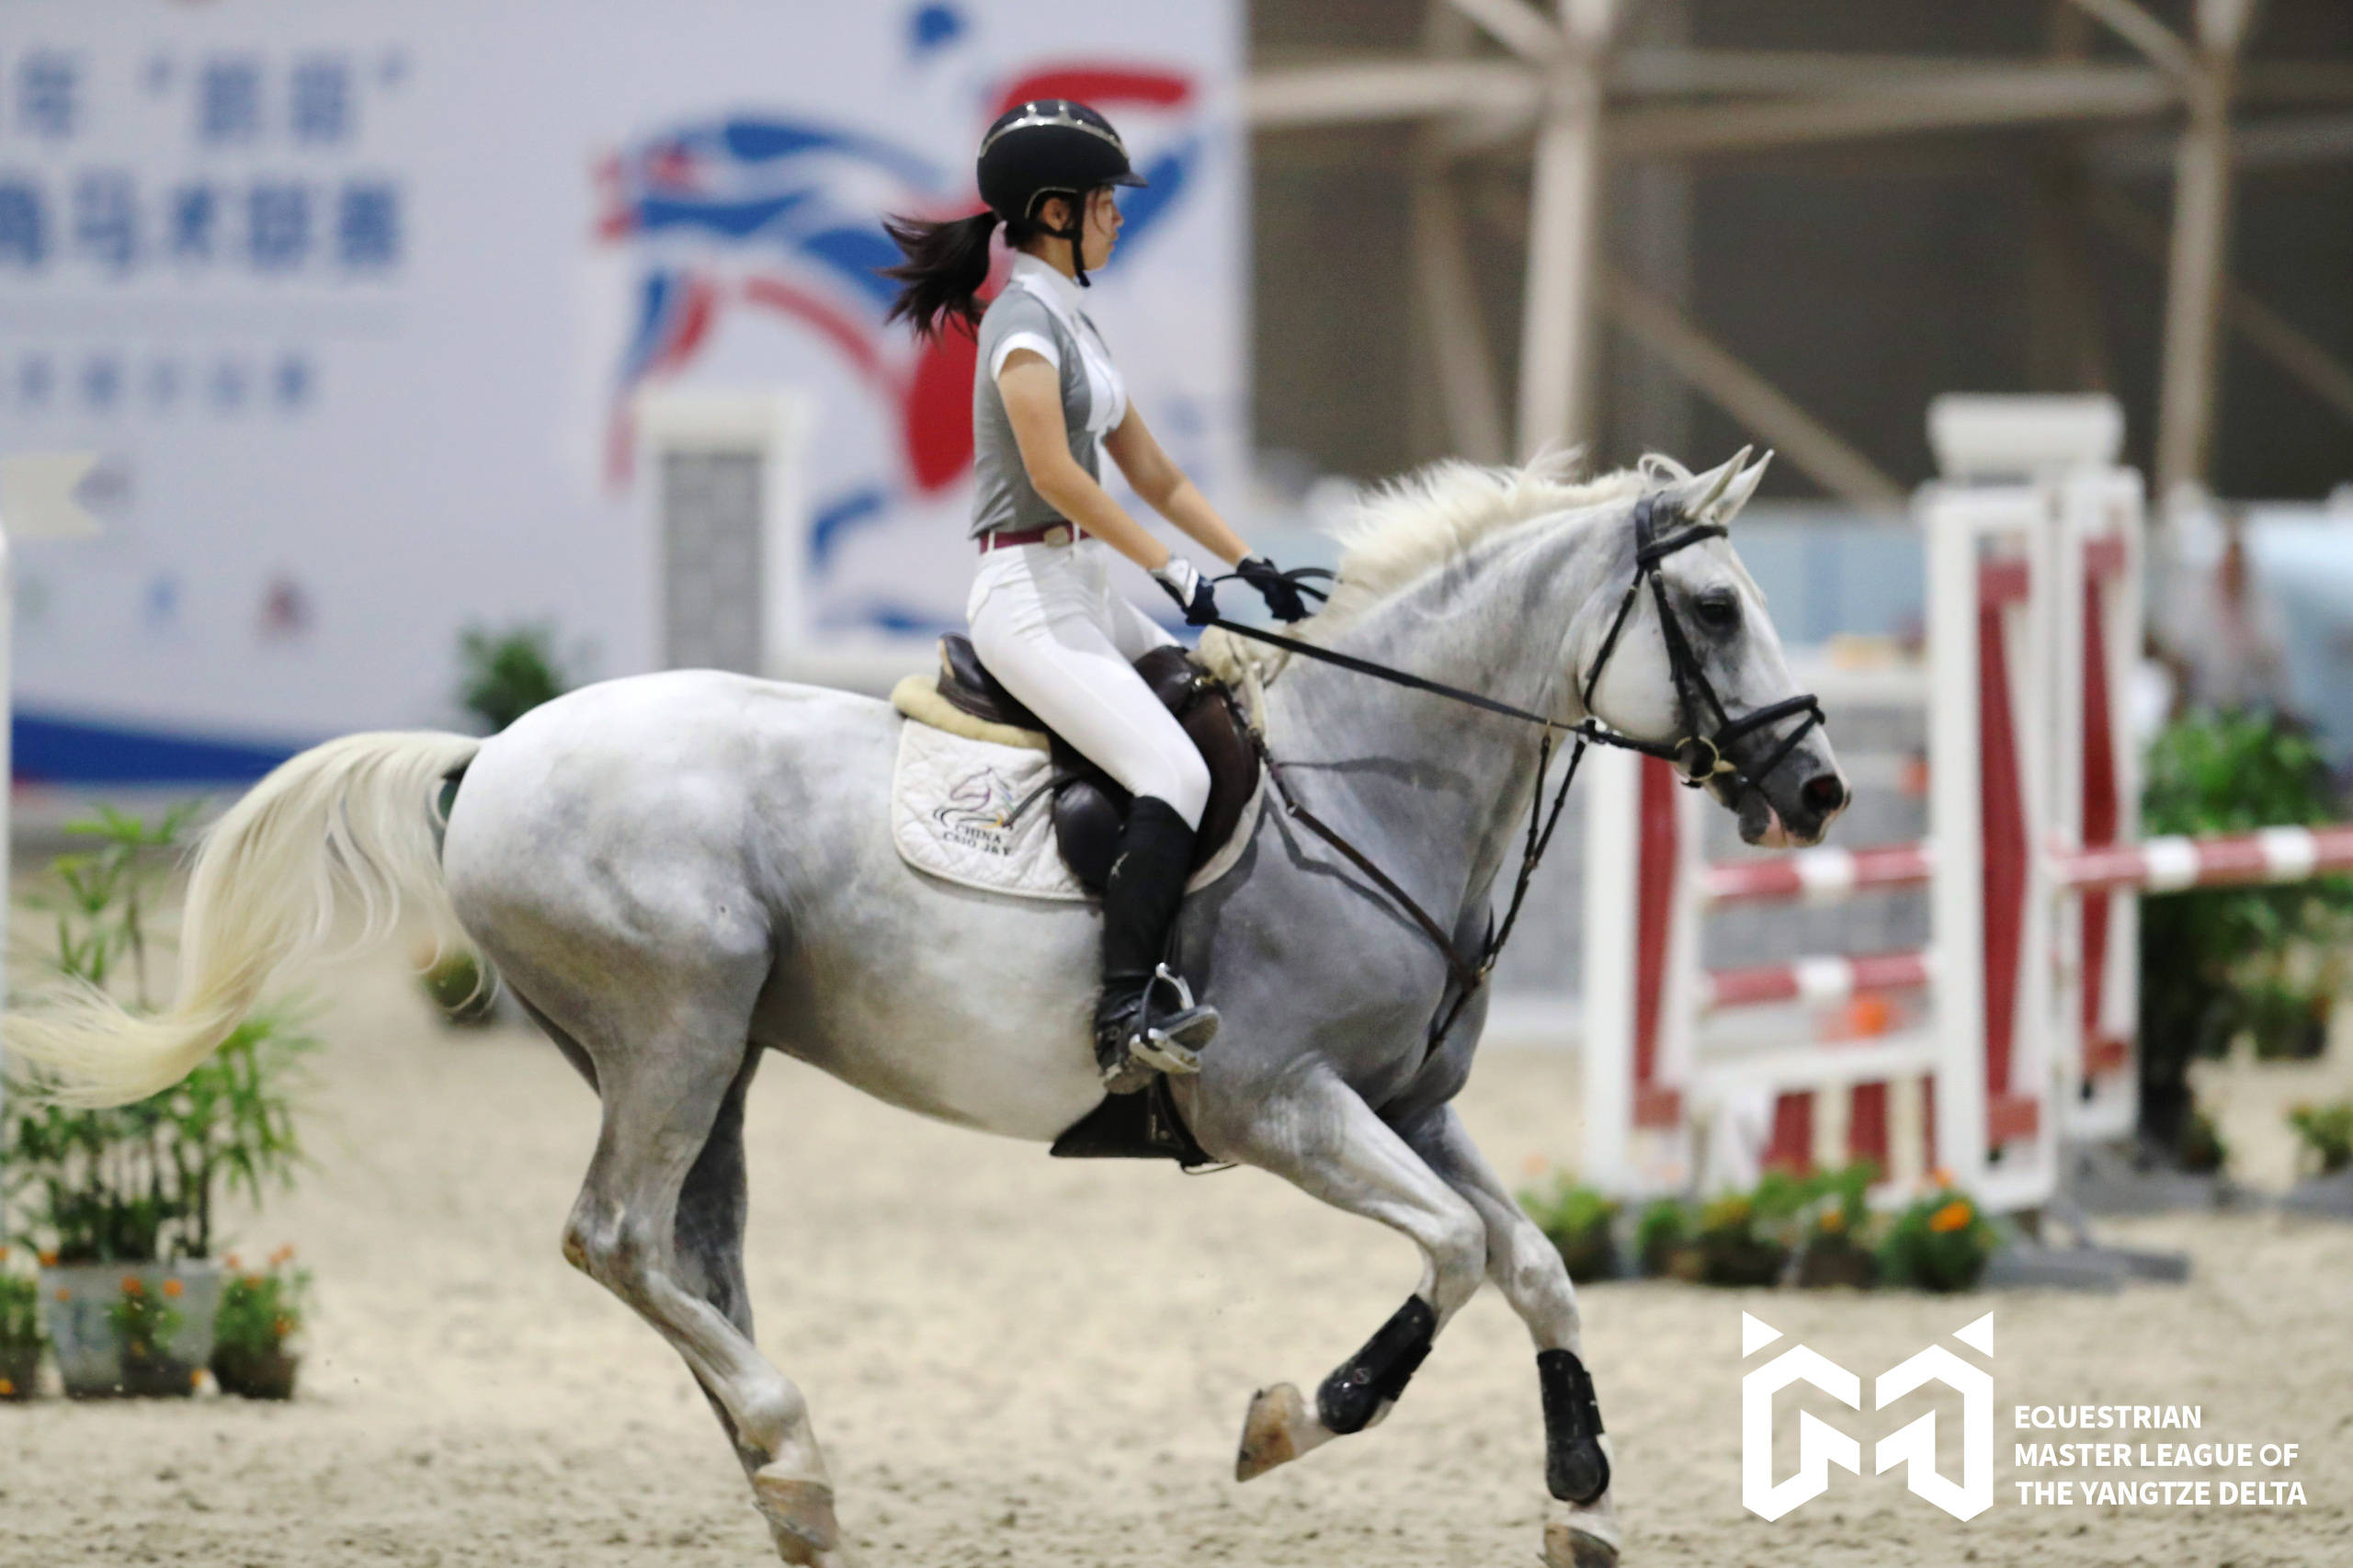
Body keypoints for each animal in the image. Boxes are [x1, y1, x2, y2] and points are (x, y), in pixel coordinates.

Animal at [6, 449, 1845, 1568]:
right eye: (1715, 607)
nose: (1818, 787)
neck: (1371, 780)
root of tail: (499, 746)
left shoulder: (1410, 1110)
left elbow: (1534, 1264)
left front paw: (1582, 1498)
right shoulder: (1276, 1106)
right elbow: (1457, 1257)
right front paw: (1292, 1420)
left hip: (717, 1052)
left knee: (688, 1261)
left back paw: (790, 1483)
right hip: (677, 1027)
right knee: (617, 1239)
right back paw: (788, 1444)